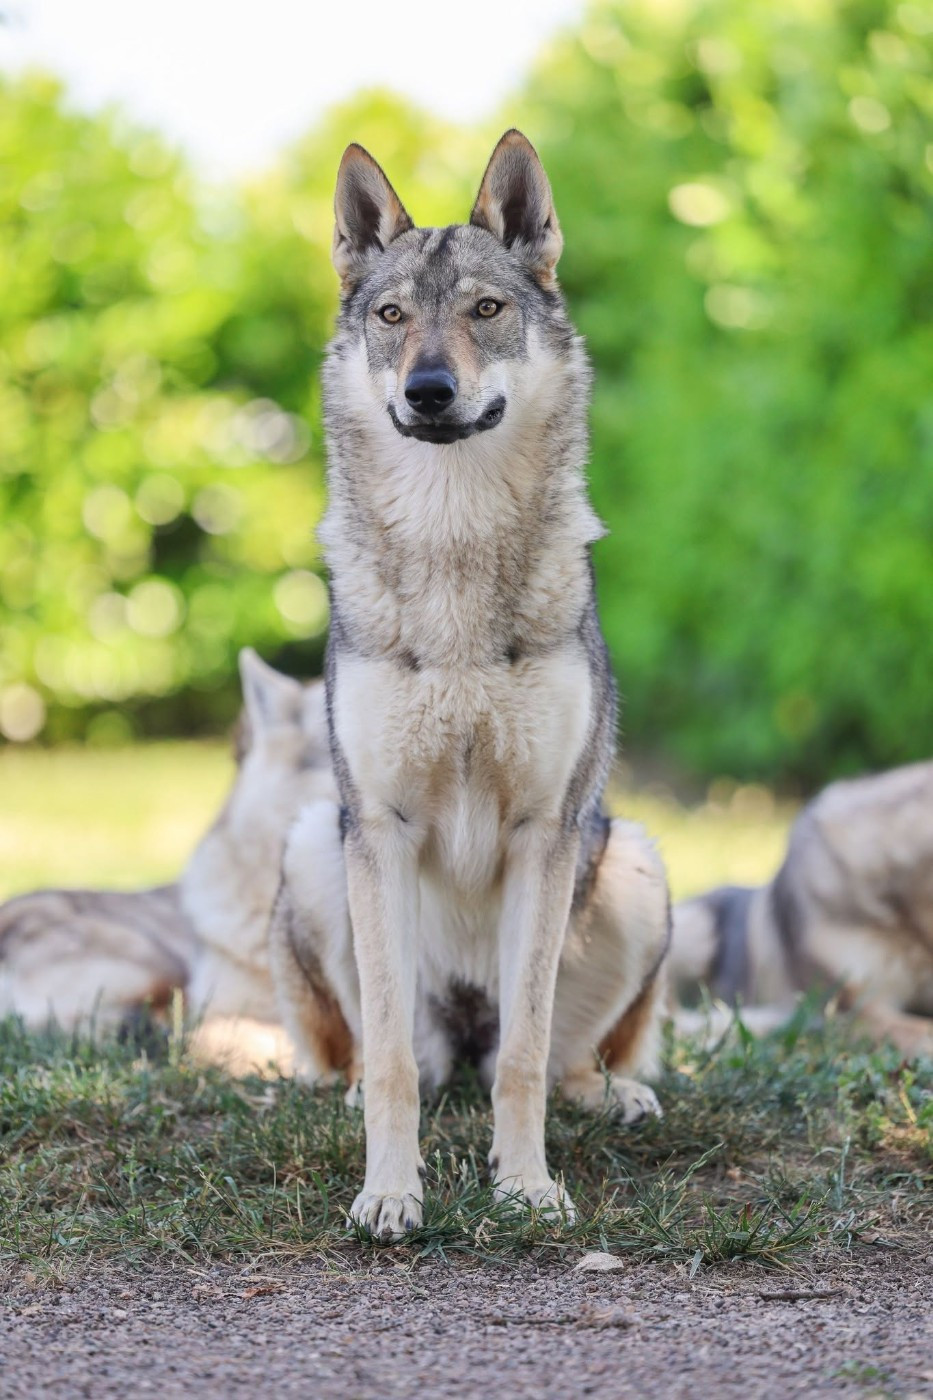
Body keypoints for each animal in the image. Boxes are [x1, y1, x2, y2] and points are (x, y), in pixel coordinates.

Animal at [268, 130, 671, 1240]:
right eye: (392, 317)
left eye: (486, 309)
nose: (430, 390)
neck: (453, 548)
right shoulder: (378, 824)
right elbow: (395, 1067)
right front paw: (390, 1194)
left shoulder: (545, 828)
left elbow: (525, 1059)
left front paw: (526, 1188)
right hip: (317, 843)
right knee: (400, 1056)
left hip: (632, 863)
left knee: (550, 1059)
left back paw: (617, 1095)